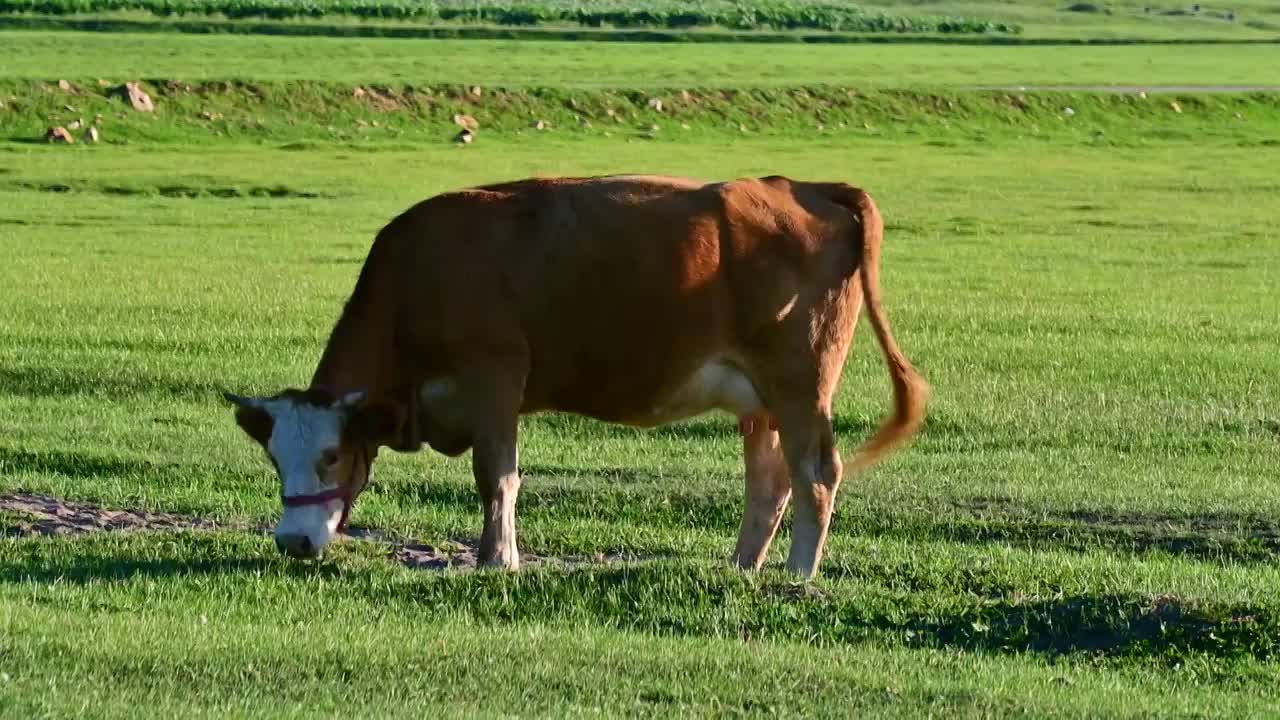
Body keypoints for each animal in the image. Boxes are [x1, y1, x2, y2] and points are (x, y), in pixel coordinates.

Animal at [222, 175, 931, 576]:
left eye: (332, 454)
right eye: (276, 460)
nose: (293, 542)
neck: (417, 279)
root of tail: (807, 188)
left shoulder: (495, 379)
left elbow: (497, 478)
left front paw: (497, 560)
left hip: (800, 383)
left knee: (817, 473)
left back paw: (797, 577)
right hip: (760, 400)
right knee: (770, 481)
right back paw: (741, 568)